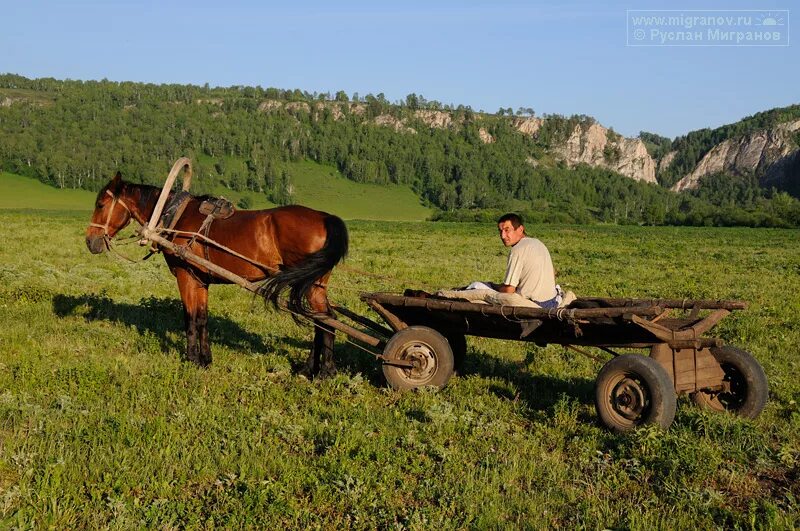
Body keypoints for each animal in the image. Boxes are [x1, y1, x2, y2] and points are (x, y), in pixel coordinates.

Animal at [85, 172, 350, 376]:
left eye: (100, 205)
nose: (90, 241)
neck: (176, 216)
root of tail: (325, 217)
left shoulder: (186, 276)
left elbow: (190, 318)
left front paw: (191, 359)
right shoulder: (201, 281)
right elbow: (202, 318)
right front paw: (205, 359)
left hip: (310, 284)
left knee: (326, 320)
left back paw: (324, 372)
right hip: (314, 284)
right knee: (323, 320)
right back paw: (310, 369)